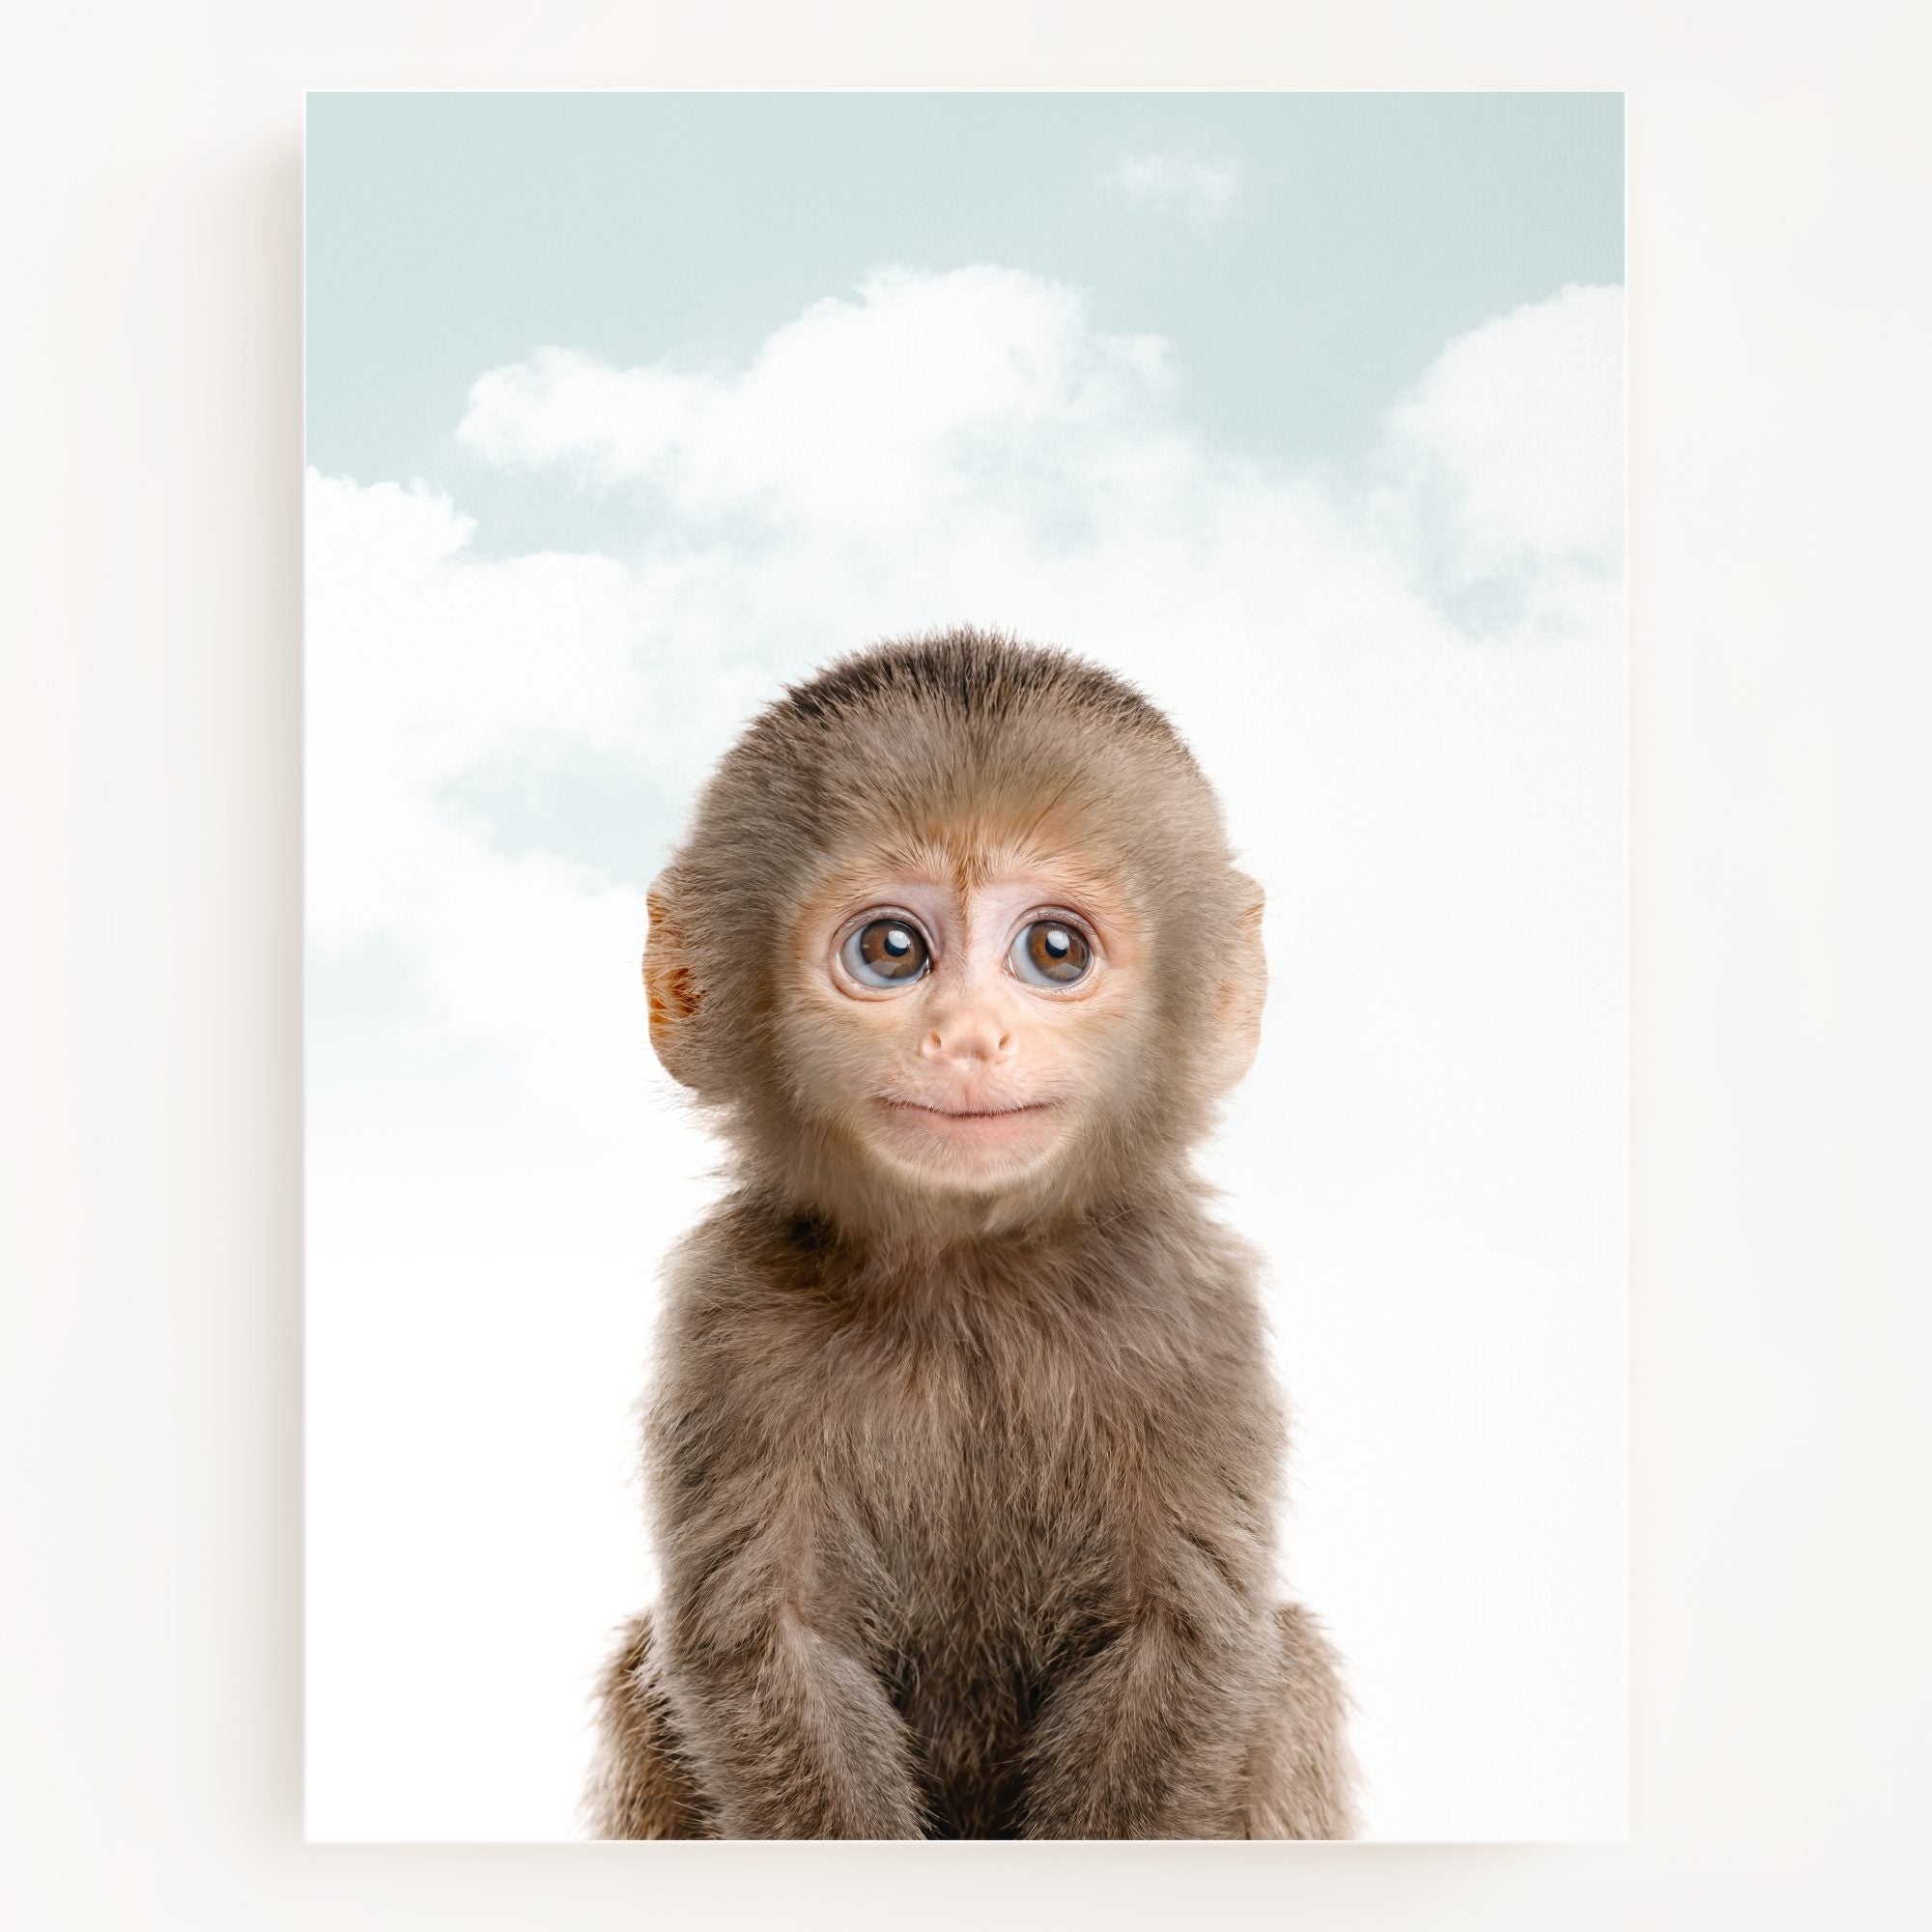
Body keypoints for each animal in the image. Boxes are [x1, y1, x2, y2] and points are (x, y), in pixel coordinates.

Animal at [585, 628, 1358, 1840]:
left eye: (1054, 950)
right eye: (892, 949)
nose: (967, 1036)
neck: (968, 1280)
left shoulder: (1193, 1311)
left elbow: (1180, 1636)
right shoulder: (727, 1314)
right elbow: (766, 1644)